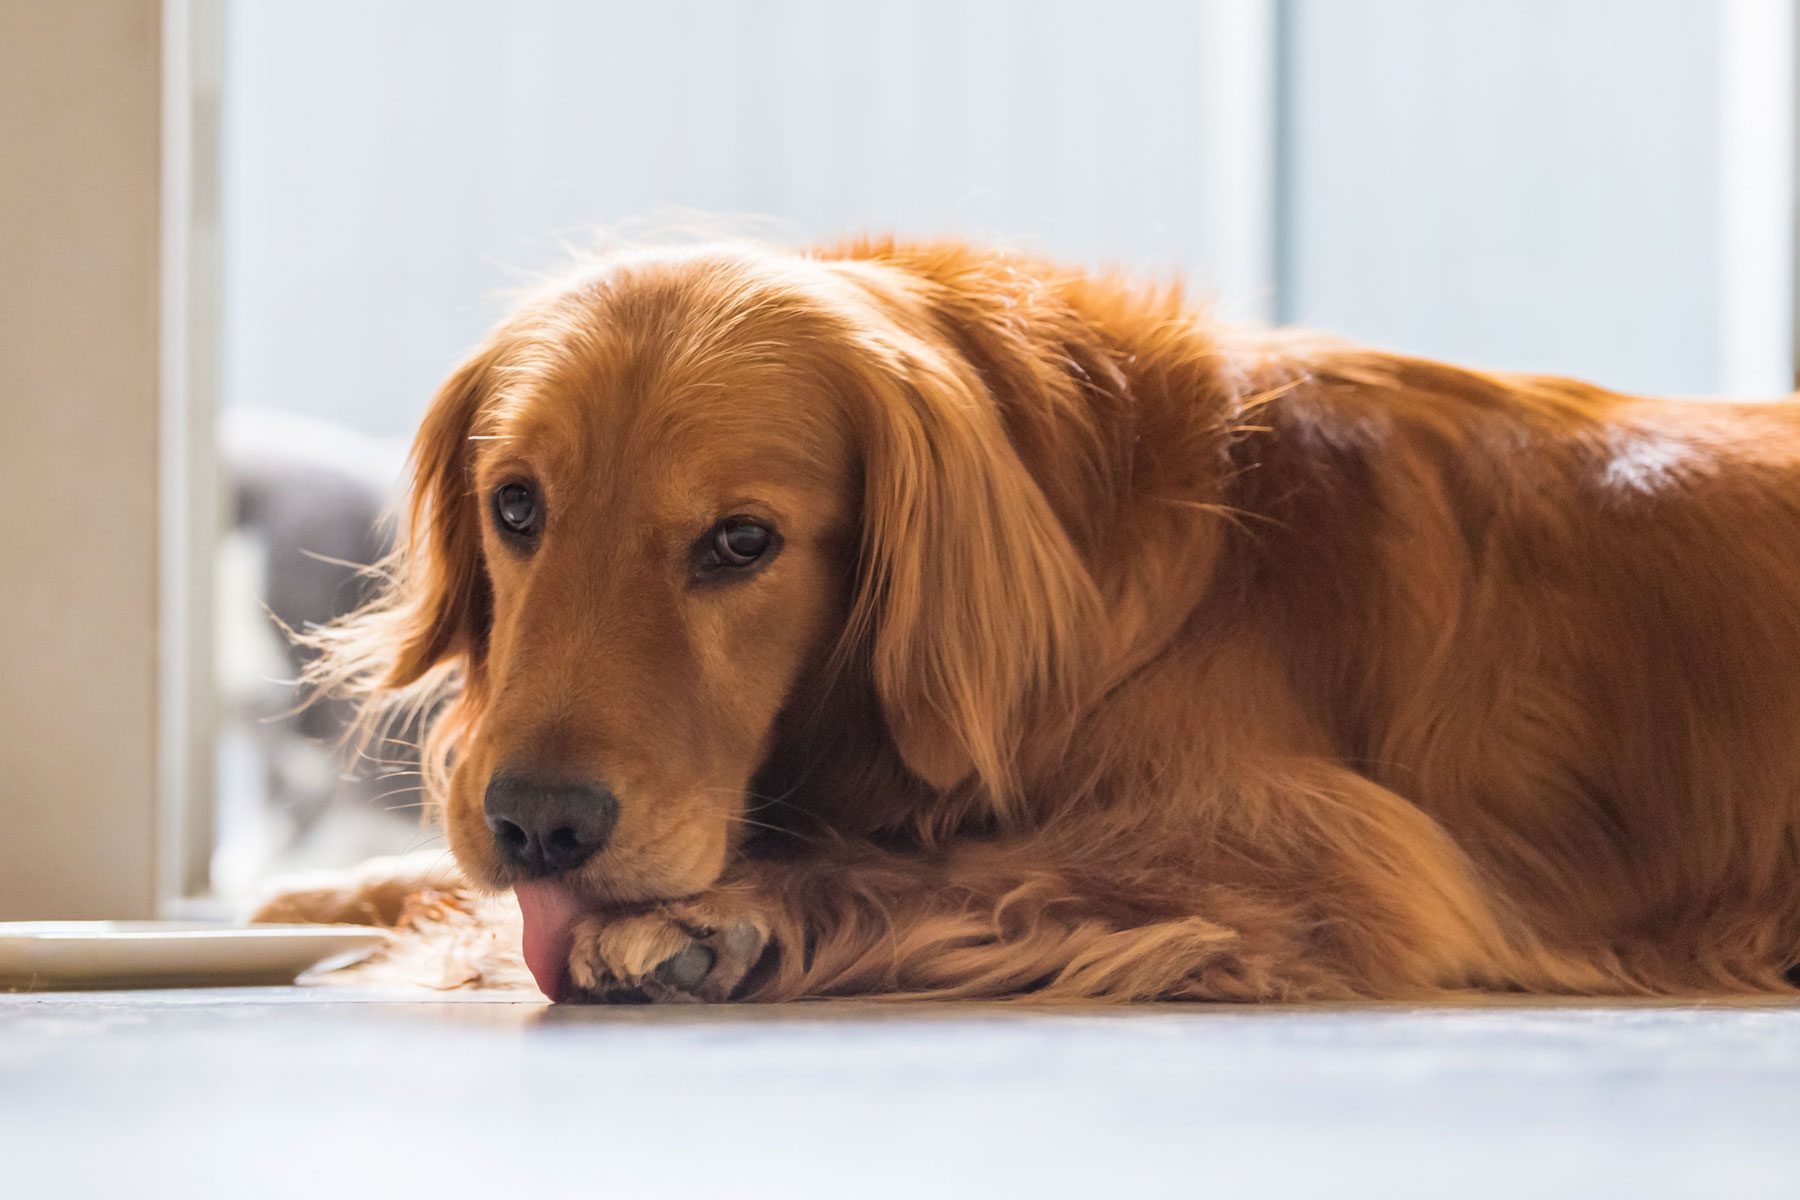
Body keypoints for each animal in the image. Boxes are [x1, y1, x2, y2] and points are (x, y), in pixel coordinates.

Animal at [291, 237, 1800, 1007]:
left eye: (742, 542)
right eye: (517, 505)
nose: (539, 826)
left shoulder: (1337, 844)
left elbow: (987, 862)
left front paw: (721, 915)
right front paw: (339, 891)